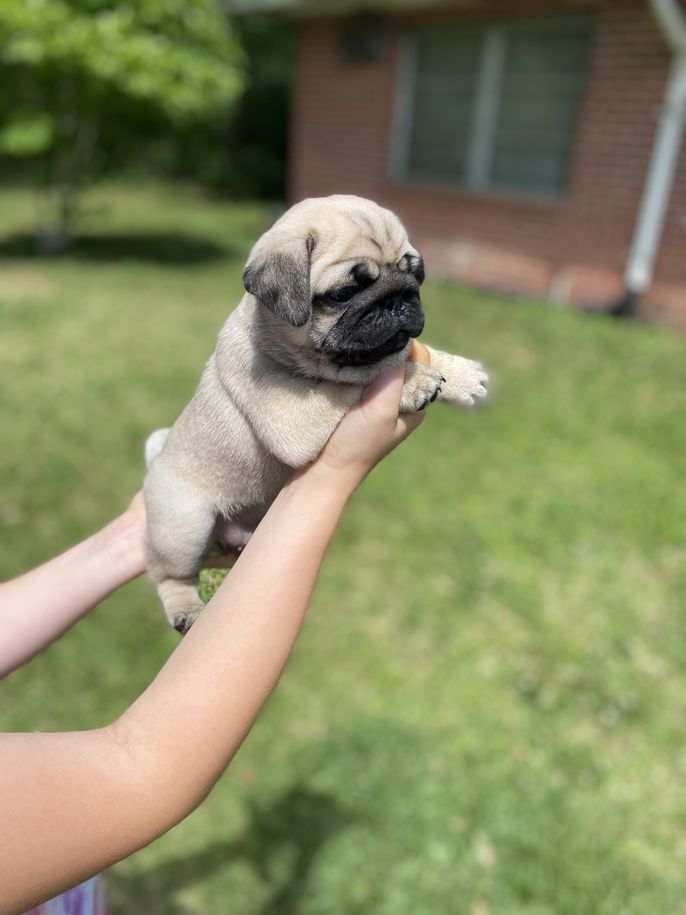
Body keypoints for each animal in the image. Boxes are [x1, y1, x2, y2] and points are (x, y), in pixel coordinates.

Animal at [144, 195, 488, 633]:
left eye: (414, 274)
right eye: (344, 293)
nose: (399, 298)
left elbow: (404, 351)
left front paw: (460, 373)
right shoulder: (295, 414)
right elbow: (364, 376)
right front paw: (412, 383)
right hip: (183, 525)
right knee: (167, 574)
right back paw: (185, 608)